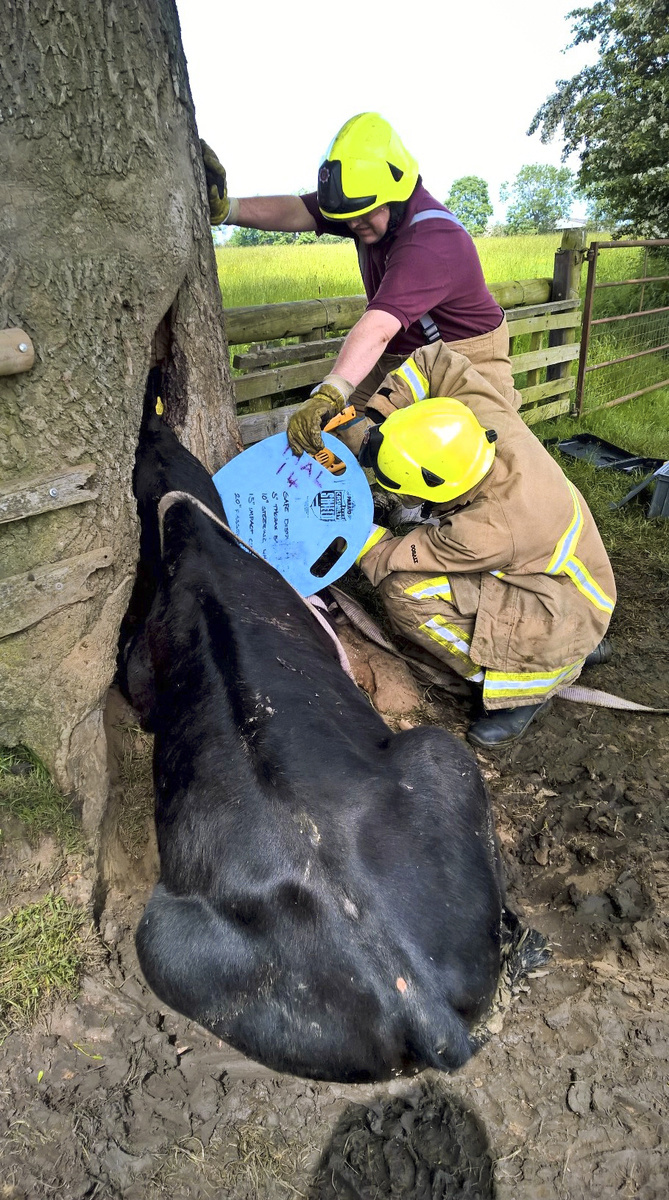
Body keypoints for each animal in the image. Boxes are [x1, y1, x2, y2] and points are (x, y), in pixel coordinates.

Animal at [116, 398, 513, 1084]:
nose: (146, 417)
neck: (192, 529)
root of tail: (408, 989)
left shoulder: (142, 663)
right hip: (442, 756)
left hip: (162, 943)